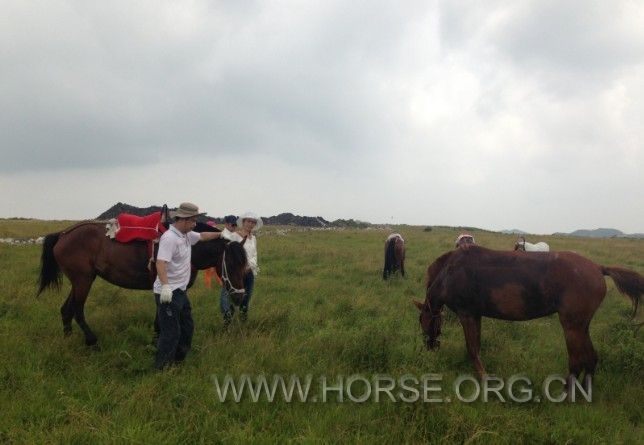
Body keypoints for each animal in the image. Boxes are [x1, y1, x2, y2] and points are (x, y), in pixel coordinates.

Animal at [37, 220, 248, 346]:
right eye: (231, 264)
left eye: (244, 265)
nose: (240, 297)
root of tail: (64, 234)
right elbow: (160, 318)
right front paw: (157, 340)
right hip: (83, 281)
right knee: (78, 310)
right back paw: (91, 340)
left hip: (79, 281)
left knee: (66, 309)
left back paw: (68, 338)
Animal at [413, 245, 644, 389]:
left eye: (424, 322)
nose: (430, 346)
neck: (449, 272)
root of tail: (598, 267)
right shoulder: (476, 315)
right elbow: (476, 348)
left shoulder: (467, 314)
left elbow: (472, 350)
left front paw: (485, 379)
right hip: (582, 326)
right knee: (591, 358)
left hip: (572, 326)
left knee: (577, 361)